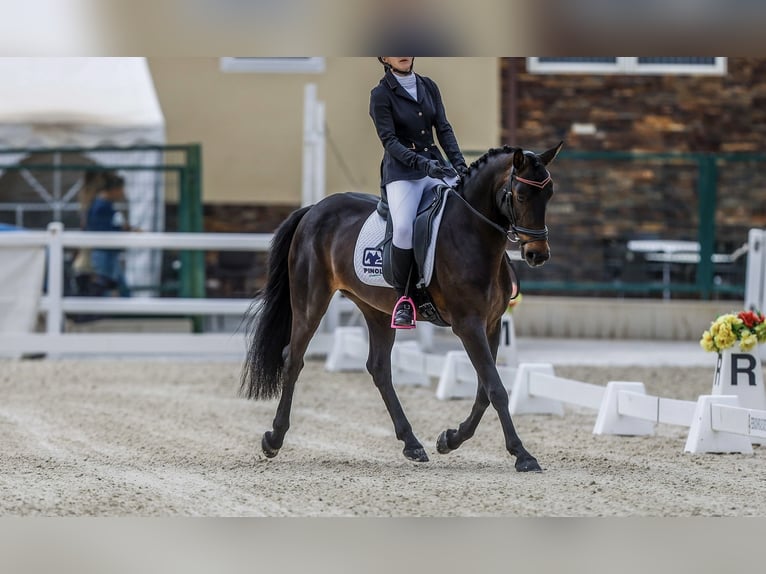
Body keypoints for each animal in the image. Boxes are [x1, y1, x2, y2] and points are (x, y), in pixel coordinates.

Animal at [241, 142, 563, 472]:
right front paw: (522, 454)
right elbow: (495, 388)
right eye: (521, 195)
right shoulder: (468, 324)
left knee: (379, 369)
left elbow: (485, 389)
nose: (537, 254)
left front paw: (449, 439)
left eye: (549, 193)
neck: (472, 232)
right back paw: (273, 439)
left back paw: (412, 443)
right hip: (310, 303)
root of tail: (314, 209)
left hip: (378, 311)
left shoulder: (492, 324)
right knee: (293, 359)